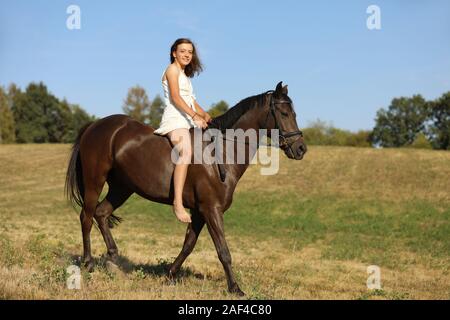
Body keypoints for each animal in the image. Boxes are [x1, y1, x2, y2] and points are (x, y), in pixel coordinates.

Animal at [65, 82, 308, 296]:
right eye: (284, 113)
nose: (301, 149)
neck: (222, 153)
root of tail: (94, 126)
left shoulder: (199, 212)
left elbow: (188, 245)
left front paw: (170, 275)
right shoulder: (211, 210)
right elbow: (223, 251)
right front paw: (235, 288)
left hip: (122, 188)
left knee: (101, 213)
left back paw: (114, 259)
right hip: (95, 181)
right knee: (86, 217)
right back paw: (88, 263)